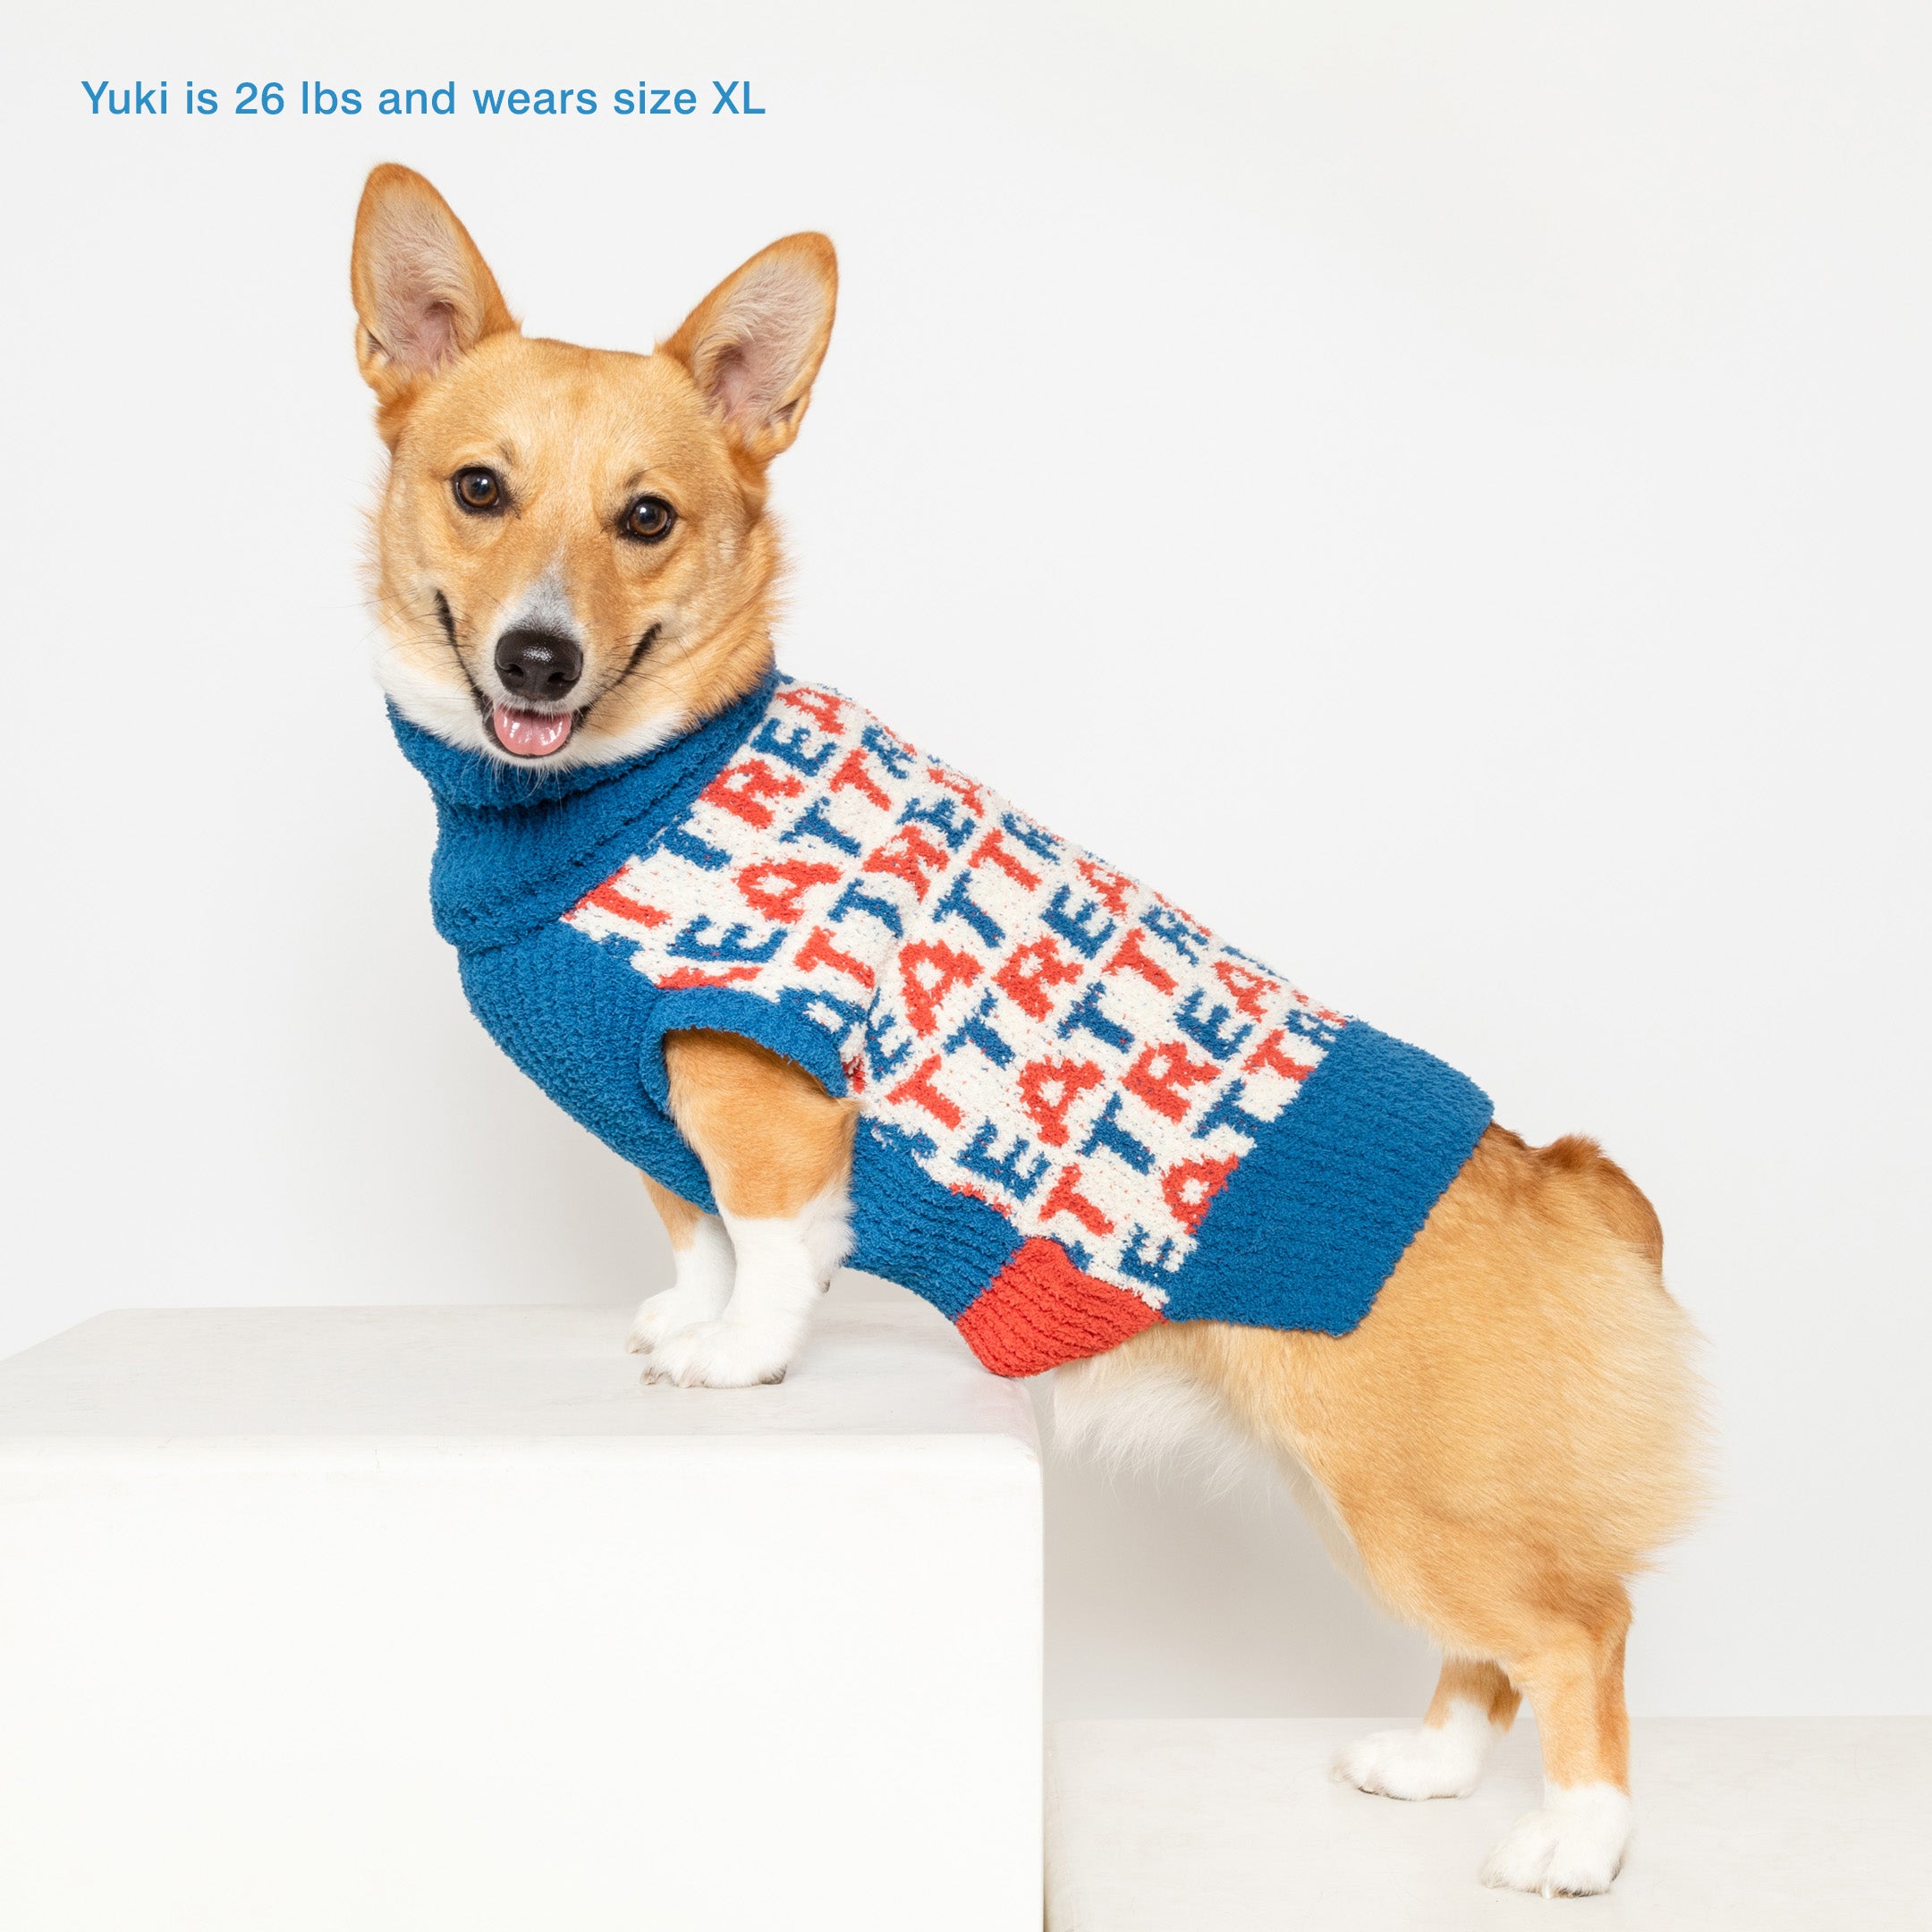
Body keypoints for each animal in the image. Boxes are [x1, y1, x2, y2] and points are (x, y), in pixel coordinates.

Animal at [352, 170, 1707, 1901]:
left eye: (645, 519)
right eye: (479, 488)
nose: (539, 658)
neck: (611, 793)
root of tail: (1557, 1173)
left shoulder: (769, 1091)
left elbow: (772, 1248)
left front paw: (740, 1362)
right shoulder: (669, 1128)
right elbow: (698, 1235)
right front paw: (684, 1326)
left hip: (1422, 1508)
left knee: (1582, 1631)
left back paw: (1577, 1844)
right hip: (1371, 1498)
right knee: (1494, 1653)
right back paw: (1428, 1767)